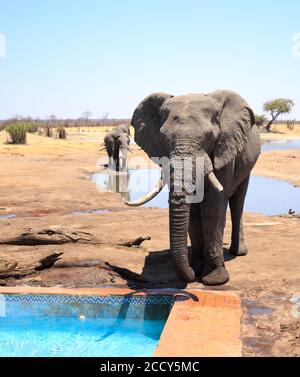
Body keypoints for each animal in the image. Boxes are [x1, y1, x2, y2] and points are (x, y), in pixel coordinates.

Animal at [125, 90, 262, 284]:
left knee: (237, 201)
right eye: (163, 138)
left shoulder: (224, 149)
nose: (189, 273)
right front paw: (196, 269)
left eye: (209, 137)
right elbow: (194, 214)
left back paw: (238, 252)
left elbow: (213, 205)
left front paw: (214, 280)